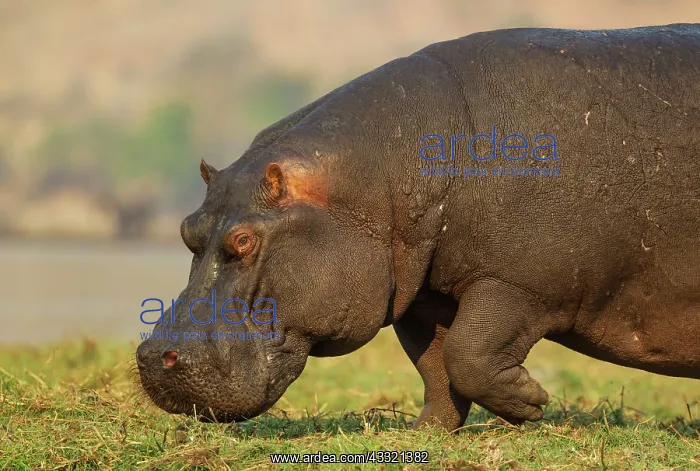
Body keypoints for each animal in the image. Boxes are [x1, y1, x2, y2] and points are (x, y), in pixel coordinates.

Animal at [136, 24, 700, 431]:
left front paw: (531, 403)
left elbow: (468, 352)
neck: (384, 171)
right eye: (187, 229)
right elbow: (436, 364)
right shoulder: (419, 295)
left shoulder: (520, 284)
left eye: (243, 240)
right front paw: (426, 431)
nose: (149, 357)